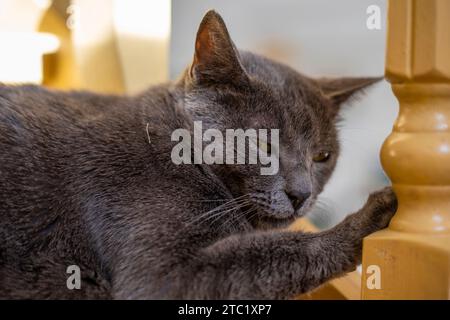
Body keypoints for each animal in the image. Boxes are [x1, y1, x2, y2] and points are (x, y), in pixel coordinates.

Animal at [0, 10, 396, 300]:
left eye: (322, 156)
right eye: (263, 144)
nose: (301, 194)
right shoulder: (162, 275)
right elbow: (278, 253)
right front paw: (373, 216)